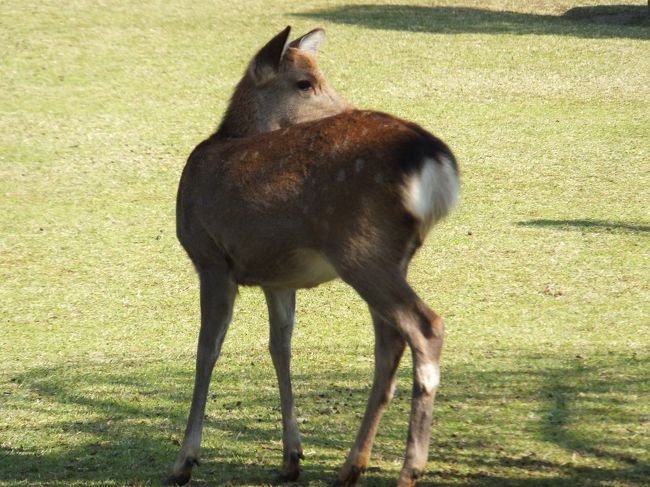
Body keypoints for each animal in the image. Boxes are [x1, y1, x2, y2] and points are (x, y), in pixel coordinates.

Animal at [167, 27, 456, 487]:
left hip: (360, 247)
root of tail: (436, 161)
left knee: (425, 327)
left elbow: (206, 349)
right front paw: (291, 457)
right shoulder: (276, 277)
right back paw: (350, 467)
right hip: (392, 256)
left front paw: (184, 461)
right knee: (390, 340)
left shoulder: (209, 257)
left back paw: (409, 469)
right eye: (305, 82)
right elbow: (279, 346)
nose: (346, 108)